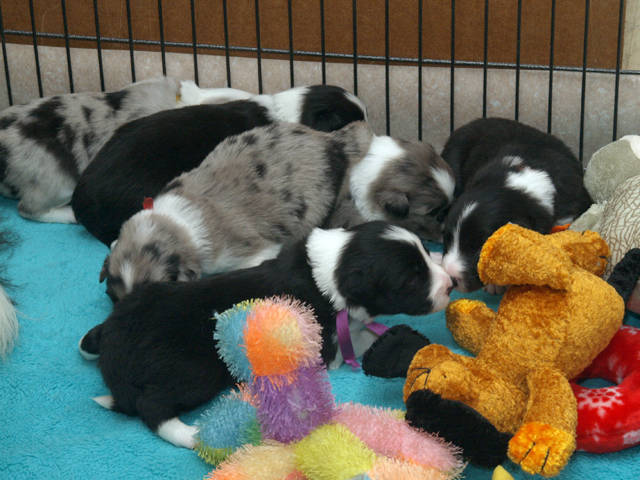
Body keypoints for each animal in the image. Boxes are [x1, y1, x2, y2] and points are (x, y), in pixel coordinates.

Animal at [78, 221, 454, 448]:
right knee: (152, 407)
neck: (335, 267)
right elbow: (365, 338)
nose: (451, 286)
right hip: (192, 371)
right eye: (411, 280)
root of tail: (114, 354)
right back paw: (190, 434)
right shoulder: (327, 344)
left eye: (423, 253)